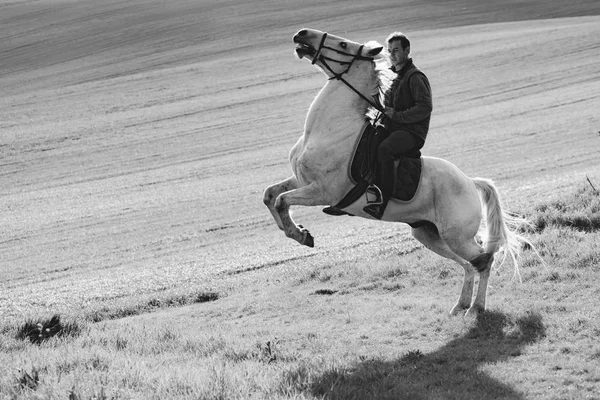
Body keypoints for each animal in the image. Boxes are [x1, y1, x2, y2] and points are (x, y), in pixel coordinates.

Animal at [264, 28, 532, 318]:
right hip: (430, 235)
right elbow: (270, 196)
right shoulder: (301, 180)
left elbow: (282, 201)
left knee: (484, 260)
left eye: (343, 44)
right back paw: (459, 306)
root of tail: (471, 183)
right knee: (468, 264)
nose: (301, 34)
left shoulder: (323, 191)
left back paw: (475, 309)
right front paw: (295, 230)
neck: (331, 128)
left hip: (455, 236)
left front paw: (302, 235)